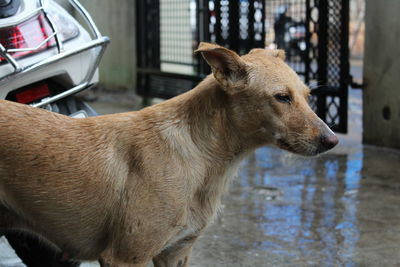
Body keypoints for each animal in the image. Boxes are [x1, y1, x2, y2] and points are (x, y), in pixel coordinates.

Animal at [0, 43, 338, 266]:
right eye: (281, 98)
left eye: (307, 96)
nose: (332, 140)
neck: (201, 156)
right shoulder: (125, 257)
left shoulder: (176, 252)